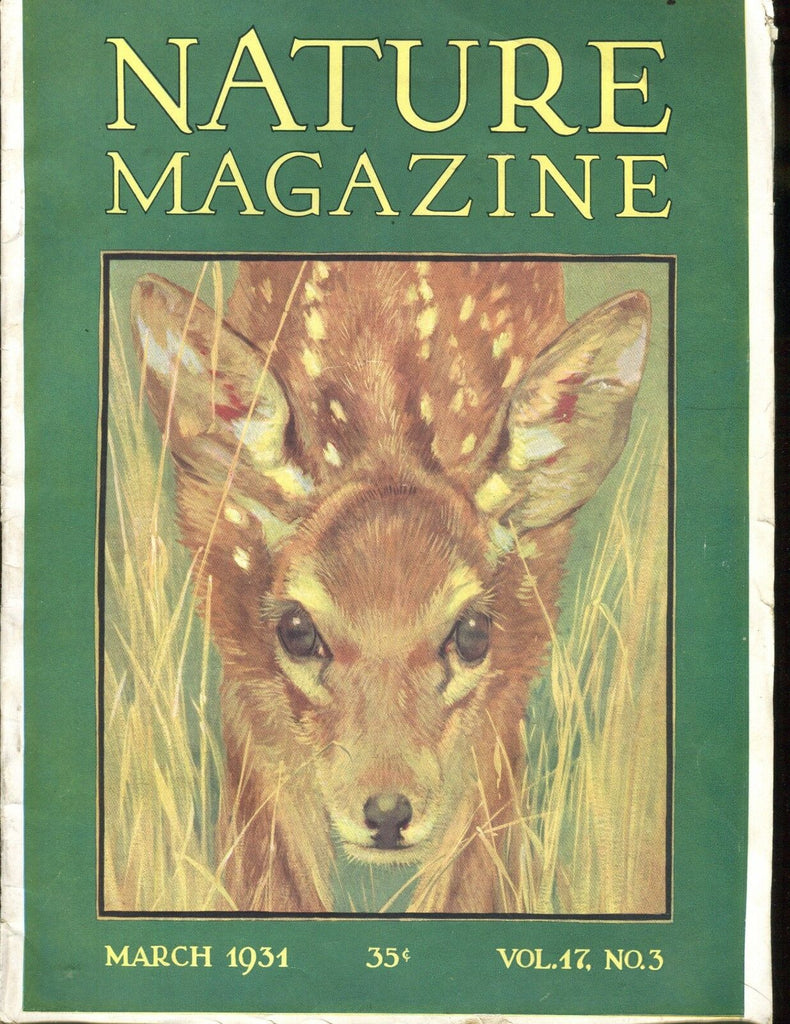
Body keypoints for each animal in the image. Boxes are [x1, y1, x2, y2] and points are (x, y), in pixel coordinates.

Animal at [130, 258, 649, 913]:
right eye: (296, 630)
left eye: (472, 632)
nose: (385, 812)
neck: (387, 433)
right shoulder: (239, 651)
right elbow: (270, 866)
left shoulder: (513, 670)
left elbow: (472, 867)